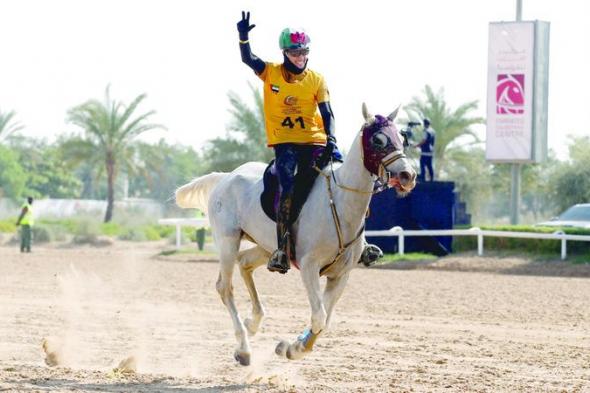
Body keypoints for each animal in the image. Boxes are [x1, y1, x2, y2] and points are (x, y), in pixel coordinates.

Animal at [176, 103, 416, 364]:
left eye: (402, 137)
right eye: (378, 140)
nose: (408, 176)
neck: (340, 202)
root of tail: (225, 177)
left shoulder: (340, 275)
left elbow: (324, 319)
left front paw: (291, 346)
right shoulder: (309, 267)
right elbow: (319, 316)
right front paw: (294, 348)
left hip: (265, 247)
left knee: (245, 263)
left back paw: (253, 322)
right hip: (228, 241)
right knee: (225, 287)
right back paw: (243, 348)